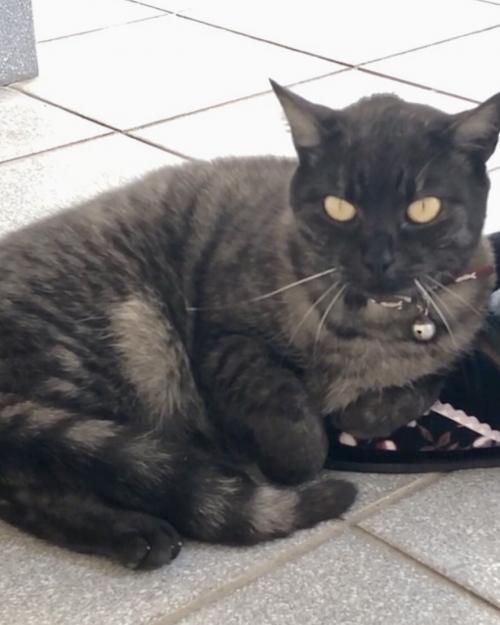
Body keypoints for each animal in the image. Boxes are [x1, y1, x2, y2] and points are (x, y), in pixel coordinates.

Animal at [0, 82, 499, 570]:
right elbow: (295, 427)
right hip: (115, 346)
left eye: (423, 208)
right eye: (338, 207)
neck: (373, 325)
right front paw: (291, 455)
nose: (378, 258)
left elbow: (404, 393)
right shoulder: (226, 342)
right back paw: (152, 519)